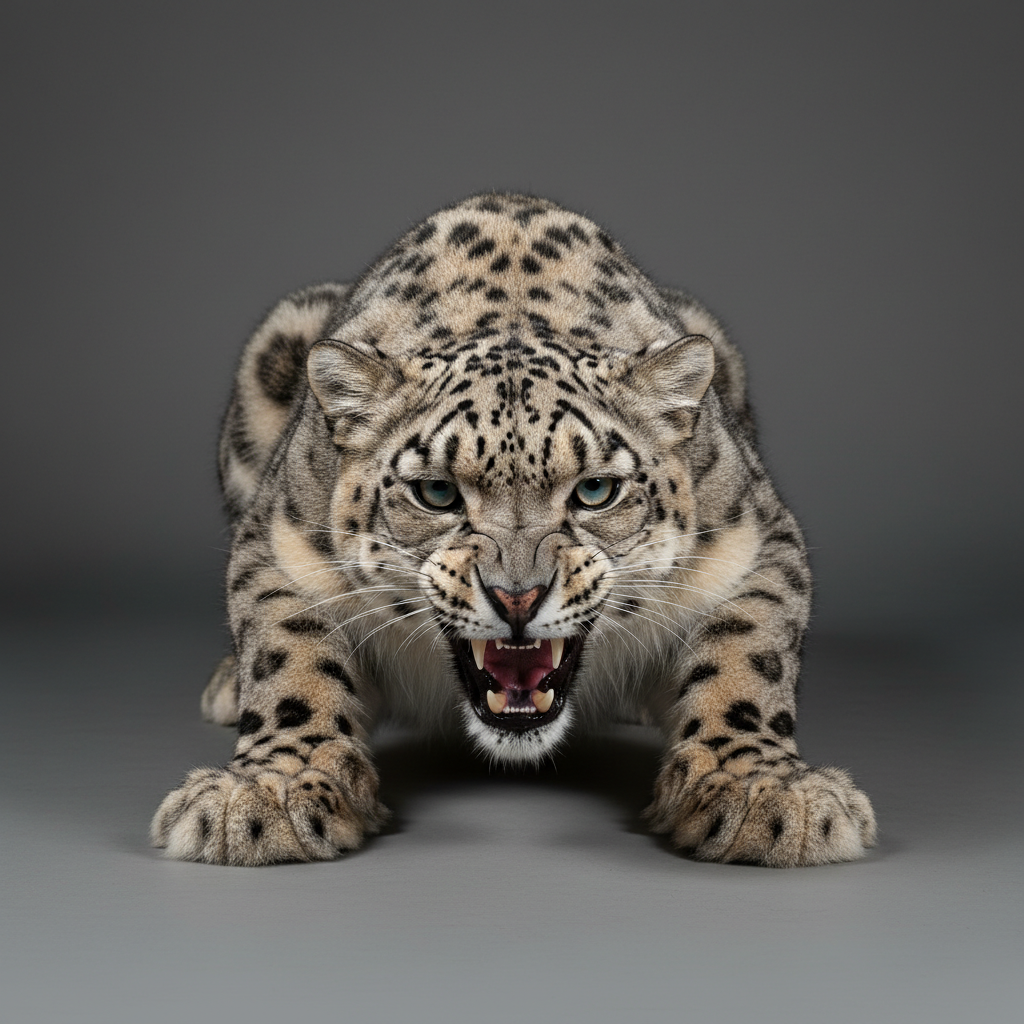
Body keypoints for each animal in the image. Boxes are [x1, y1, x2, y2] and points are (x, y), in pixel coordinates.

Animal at [151, 192, 876, 867]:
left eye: (595, 490)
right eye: (437, 492)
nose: (518, 598)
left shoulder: (755, 542)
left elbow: (745, 658)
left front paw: (761, 793)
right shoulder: (280, 545)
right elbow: (291, 661)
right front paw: (268, 792)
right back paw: (228, 686)